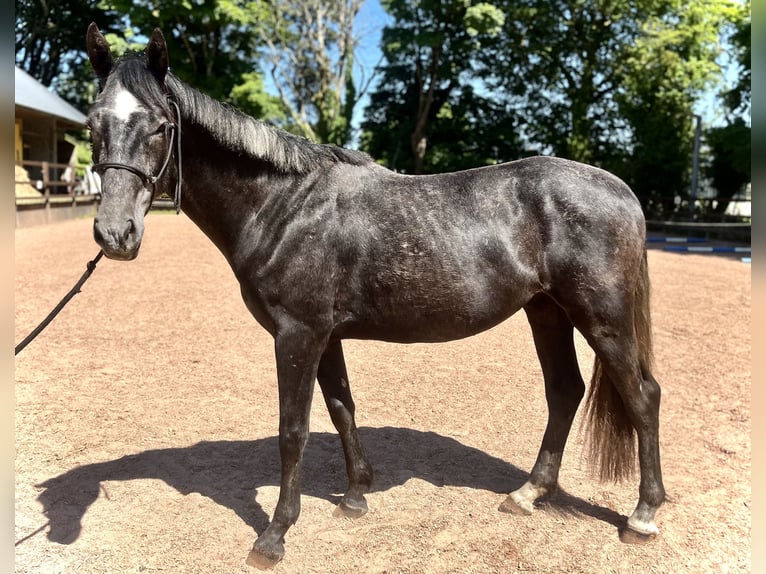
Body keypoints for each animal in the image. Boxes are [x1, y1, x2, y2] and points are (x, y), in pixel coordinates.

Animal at [85, 23, 664, 572]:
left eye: (161, 126)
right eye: (93, 124)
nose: (115, 234)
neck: (283, 205)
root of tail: (621, 191)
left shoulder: (298, 334)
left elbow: (292, 430)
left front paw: (274, 536)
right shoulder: (325, 335)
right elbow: (342, 408)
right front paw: (356, 496)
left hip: (603, 318)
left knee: (642, 396)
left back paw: (642, 516)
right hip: (546, 312)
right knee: (565, 391)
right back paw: (527, 494)